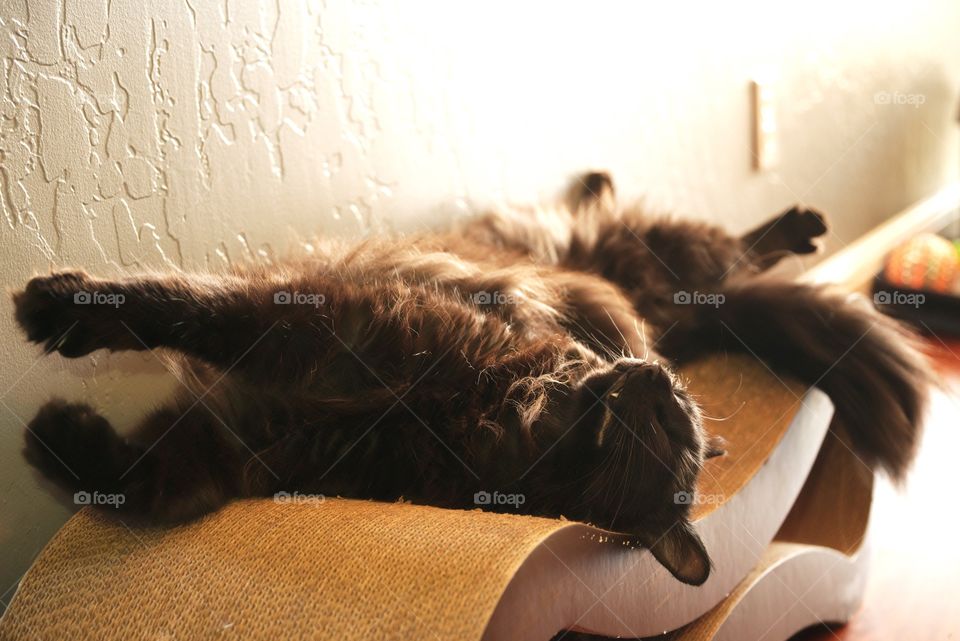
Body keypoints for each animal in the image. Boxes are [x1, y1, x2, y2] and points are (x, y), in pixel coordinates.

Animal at [11, 171, 928, 584]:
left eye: (655, 428)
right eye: (681, 415)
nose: (656, 376)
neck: (461, 410)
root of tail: (678, 314)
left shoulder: (259, 414)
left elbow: (145, 471)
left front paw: (51, 399)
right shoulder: (306, 343)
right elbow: (172, 316)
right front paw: (60, 364)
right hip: (668, 255)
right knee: (727, 244)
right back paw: (788, 223)